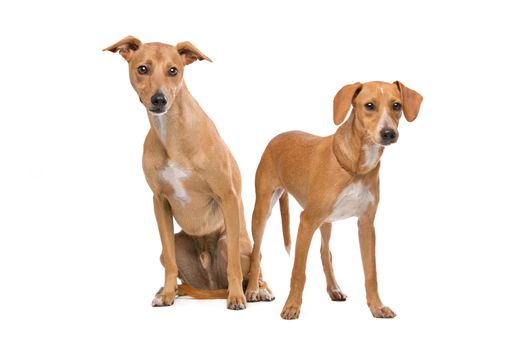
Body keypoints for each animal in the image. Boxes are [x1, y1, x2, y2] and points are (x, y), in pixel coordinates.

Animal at [103, 35, 274, 308]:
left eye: (173, 70)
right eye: (143, 68)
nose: (159, 99)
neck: (173, 133)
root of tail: (212, 285)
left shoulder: (227, 196)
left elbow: (235, 267)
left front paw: (237, 297)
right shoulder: (160, 202)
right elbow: (171, 263)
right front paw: (167, 294)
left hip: (233, 243)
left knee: (252, 267)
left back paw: (255, 290)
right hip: (175, 246)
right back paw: (175, 289)